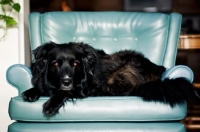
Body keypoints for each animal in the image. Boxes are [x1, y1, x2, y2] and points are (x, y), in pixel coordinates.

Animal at [21, 41, 197, 115]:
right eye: (56, 64)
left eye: (76, 64)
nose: (66, 82)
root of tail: (157, 68)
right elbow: (40, 87)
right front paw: (31, 92)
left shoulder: (85, 89)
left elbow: (65, 92)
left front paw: (52, 104)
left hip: (119, 77)